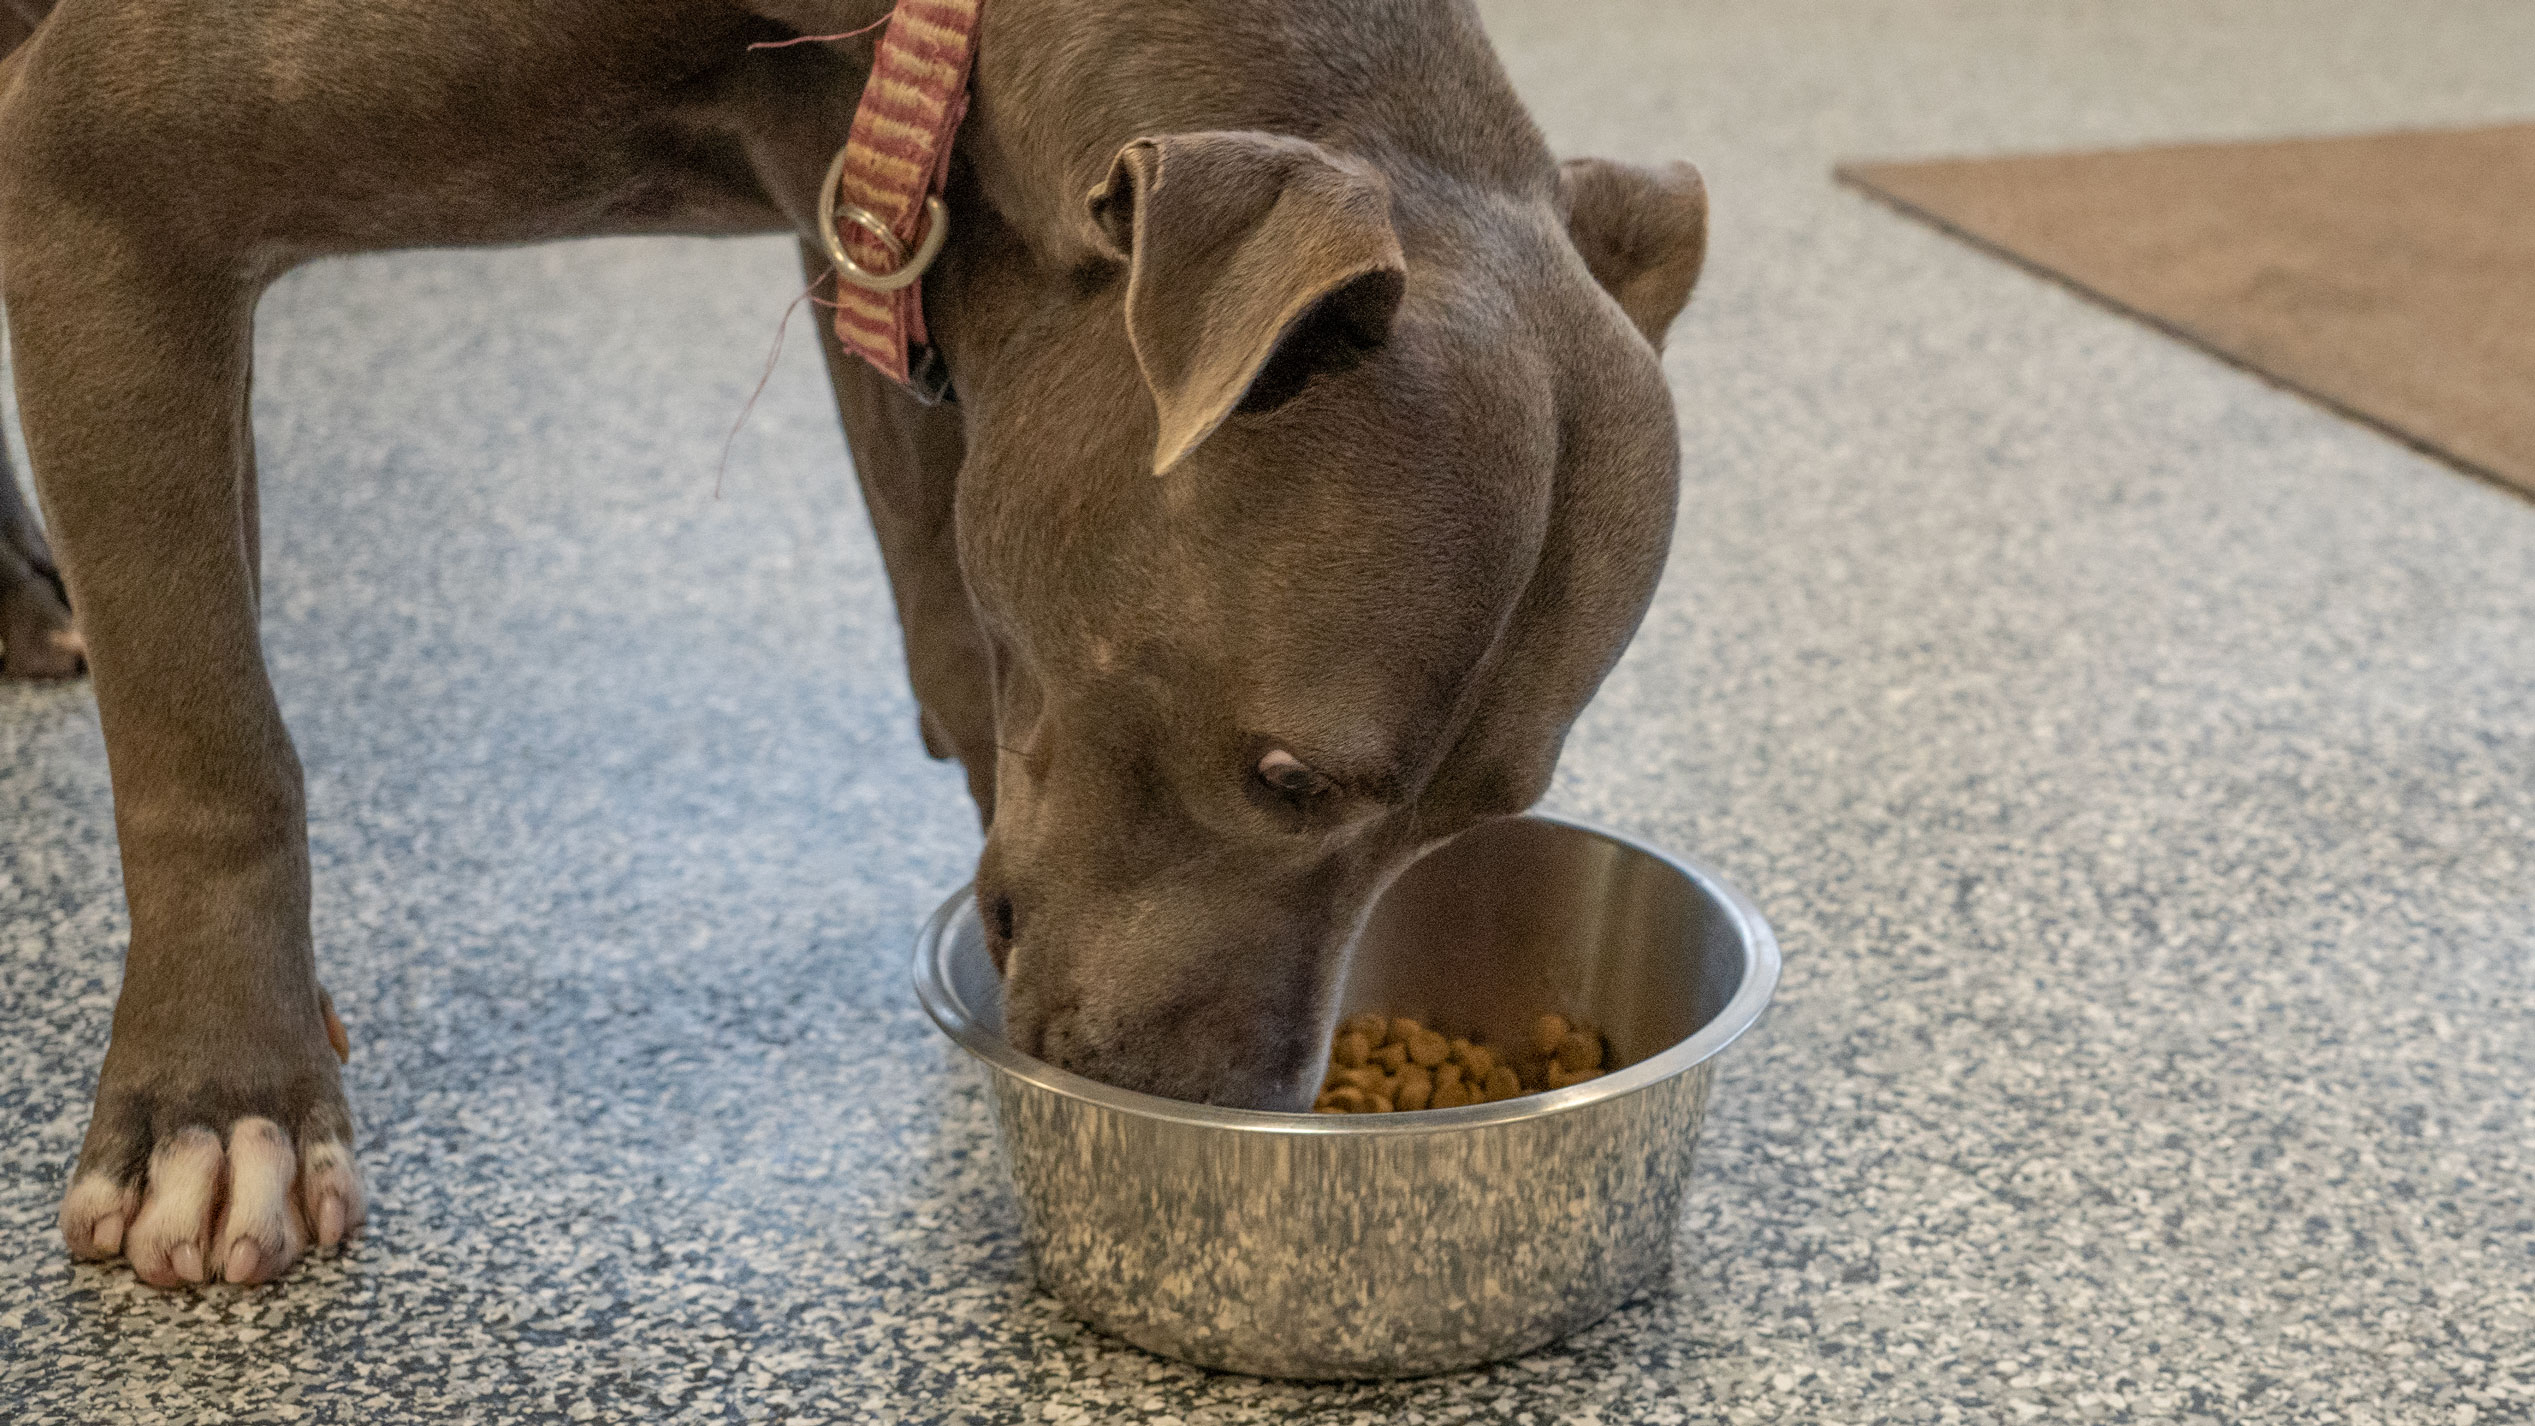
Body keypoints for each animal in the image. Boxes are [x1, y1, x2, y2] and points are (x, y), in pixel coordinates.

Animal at [4, 0, 1703, 1296]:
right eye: (1286, 775)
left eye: (1472, 821)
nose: (1238, 1114)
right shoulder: (103, 184)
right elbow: (210, 729)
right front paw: (216, 1099)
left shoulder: (899, 268)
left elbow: (957, 635)